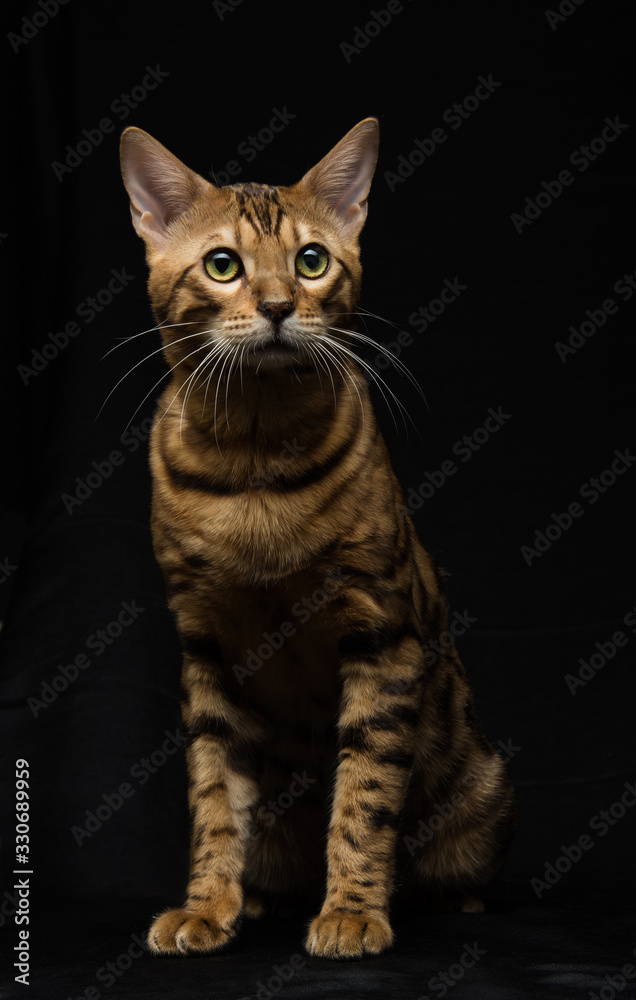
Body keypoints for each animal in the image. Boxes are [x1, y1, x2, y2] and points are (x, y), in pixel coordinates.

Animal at [120, 119, 516, 960]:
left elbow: (364, 794)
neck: (255, 468)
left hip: (484, 788)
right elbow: (213, 797)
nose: (276, 306)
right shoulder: (205, 648)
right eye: (223, 265)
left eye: (311, 260)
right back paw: (263, 899)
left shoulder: (382, 634)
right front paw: (206, 906)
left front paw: (354, 913)